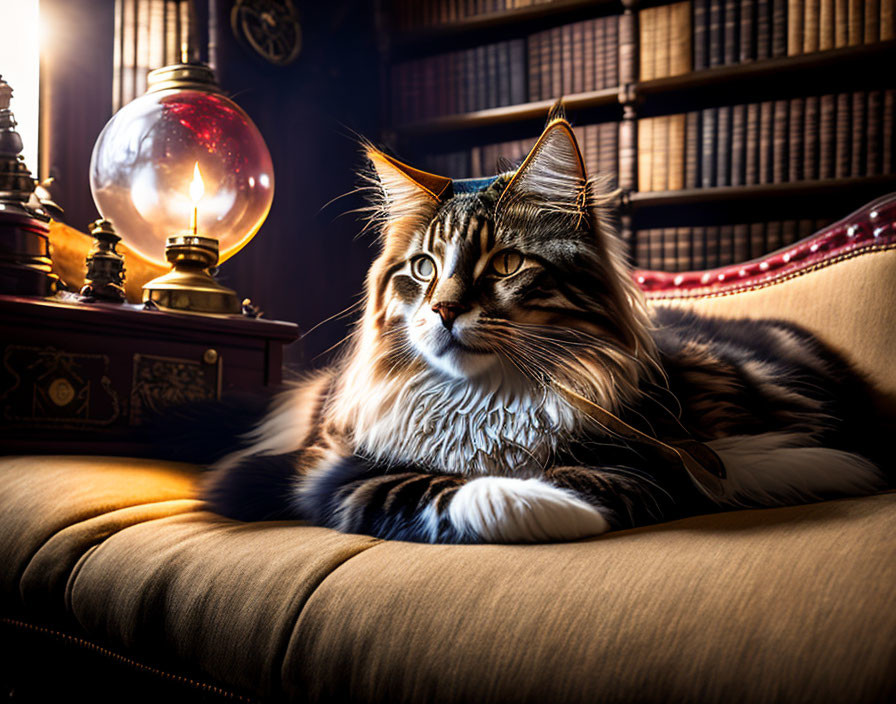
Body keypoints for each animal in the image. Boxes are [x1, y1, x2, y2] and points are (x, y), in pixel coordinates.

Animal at [198, 110, 888, 540]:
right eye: (423, 268)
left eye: (505, 264)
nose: (443, 309)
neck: (488, 399)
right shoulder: (330, 475)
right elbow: (441, 489)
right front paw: (528, 495)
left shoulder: (649, 456)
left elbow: (615, 481)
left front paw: (550, 494)